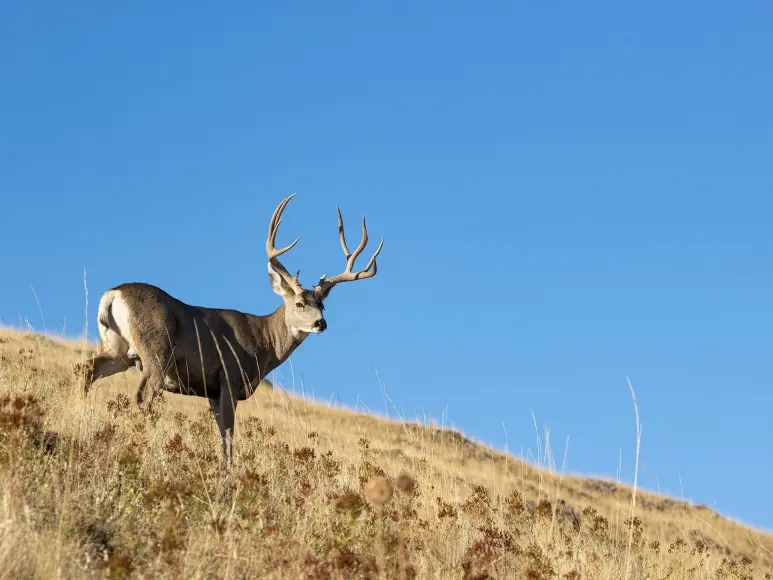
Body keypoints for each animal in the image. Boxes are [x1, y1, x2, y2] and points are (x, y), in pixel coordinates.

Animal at [80, 195, 382, 466]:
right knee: (142, 397)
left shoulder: (212, 391)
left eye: (323, 306)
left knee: (88, 369)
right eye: (299, 303)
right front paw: (229, 473)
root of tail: (113, 294)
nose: (321, 323)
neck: (263, 343)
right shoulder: (229, 377)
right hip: (156, 351)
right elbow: (228, 432)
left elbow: (222, 433)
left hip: (118, 348)